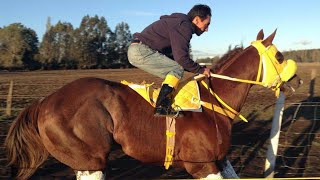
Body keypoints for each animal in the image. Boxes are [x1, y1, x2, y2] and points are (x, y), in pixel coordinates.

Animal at [5, 28, 302, 179]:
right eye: (278, 55)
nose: (297, 80)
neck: (211, 103)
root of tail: (44, 102)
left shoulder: (220, 158)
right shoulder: (202, 165)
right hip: (90, 162)